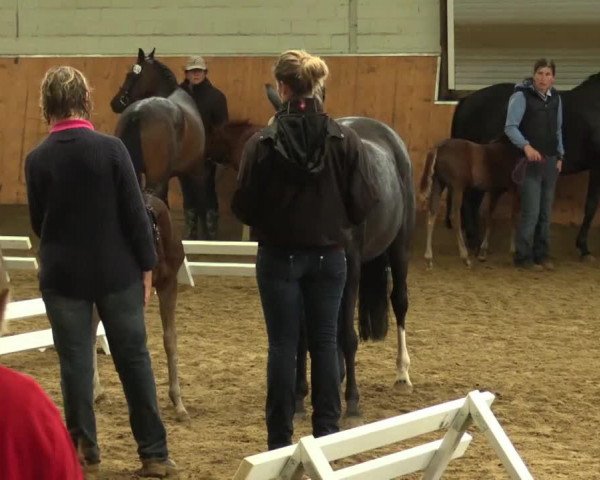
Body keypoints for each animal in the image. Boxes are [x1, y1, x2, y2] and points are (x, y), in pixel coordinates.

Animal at [264, 84, 414, 414]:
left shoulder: (351, 265)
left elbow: (347, 333)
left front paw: (352, 402)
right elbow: (304, 336)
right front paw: (299, 396)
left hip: (399, 248)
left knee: (399, 301)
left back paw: (402, 374)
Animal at [420, 137, 524, 268]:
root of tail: (439, 148)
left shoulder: (494, 191)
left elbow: (490, 218)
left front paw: (483, 252)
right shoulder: (513, 190)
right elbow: (513, 219)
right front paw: (513, 250)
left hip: (438, 184)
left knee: (431, 215)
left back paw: (429, 259)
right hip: (457, 187)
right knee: (454, 217)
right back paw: (465, 257)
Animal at [452, 73, 600, 258]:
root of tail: (467, 101)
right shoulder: (597, 167)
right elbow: (591, 205)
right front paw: (584, 248)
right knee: (469, 200)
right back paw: (475, 243)